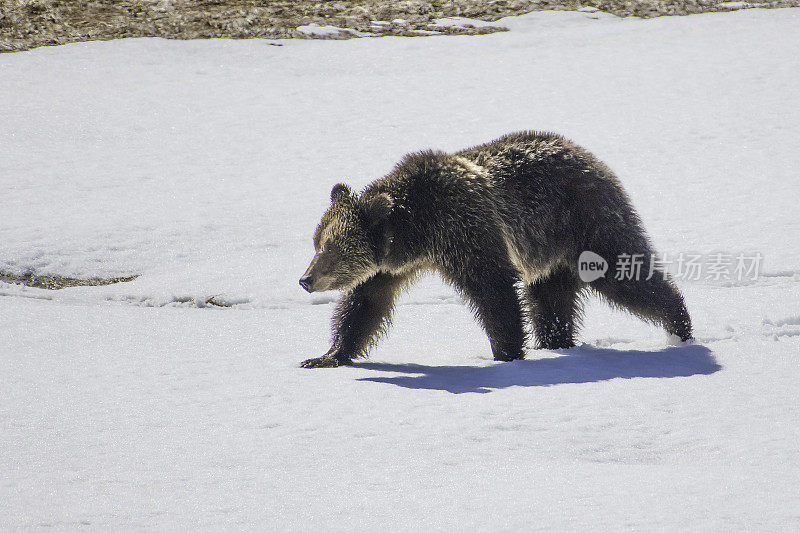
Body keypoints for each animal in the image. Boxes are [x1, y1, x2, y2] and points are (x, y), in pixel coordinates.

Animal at [296, 131, 692, 368]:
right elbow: (365, 304)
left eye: (330, 247)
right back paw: (556, 343)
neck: (417, 231)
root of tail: (584, 153)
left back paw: (680, 326)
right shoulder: (390, 267)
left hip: (587, 222)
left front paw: (505, 354)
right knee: (550, 300)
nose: (306, 279)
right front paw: (326, 356)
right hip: (549, 250)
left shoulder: (466, 228)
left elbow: (493, 287)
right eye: (316, 242)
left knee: (625, 274)